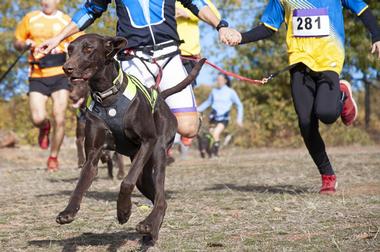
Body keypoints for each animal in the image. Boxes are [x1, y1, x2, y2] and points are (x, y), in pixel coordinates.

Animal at [58, 34, 205, 244]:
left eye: (88, 49)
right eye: (70, 50)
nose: (66, 68)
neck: (107, 97)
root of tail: (160, 96)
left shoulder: (148, 141)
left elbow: (126, 181)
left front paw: (123, 210)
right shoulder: (93, 155)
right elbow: (79, 185)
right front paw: (68, 212)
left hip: (158, 151)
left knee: (160, 197)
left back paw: (148, 225)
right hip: (143, 175)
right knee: (159, 199)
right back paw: (152, 231)